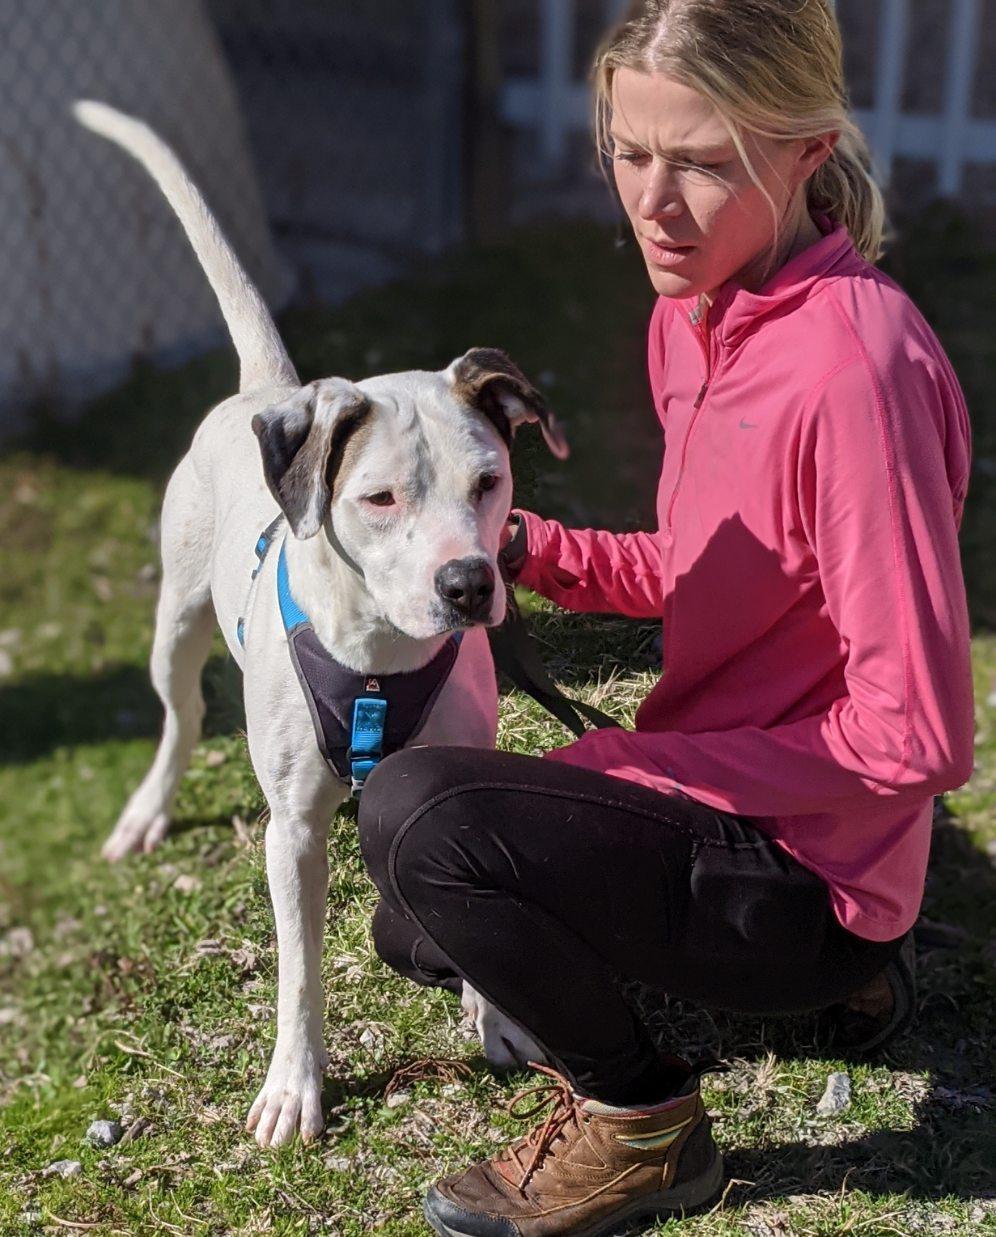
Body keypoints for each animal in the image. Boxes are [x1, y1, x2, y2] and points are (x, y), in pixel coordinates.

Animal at [73, 103, 564, 1147]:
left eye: (490, 480)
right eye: (379, 498)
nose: (469, 585)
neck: (378, 656)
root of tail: (276, 392)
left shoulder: (449, 785)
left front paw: (495, 1017)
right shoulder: (291, 829)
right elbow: (298, 973)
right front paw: (294, 1088)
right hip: (174, 629)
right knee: (179, 717)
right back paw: (147, 809)